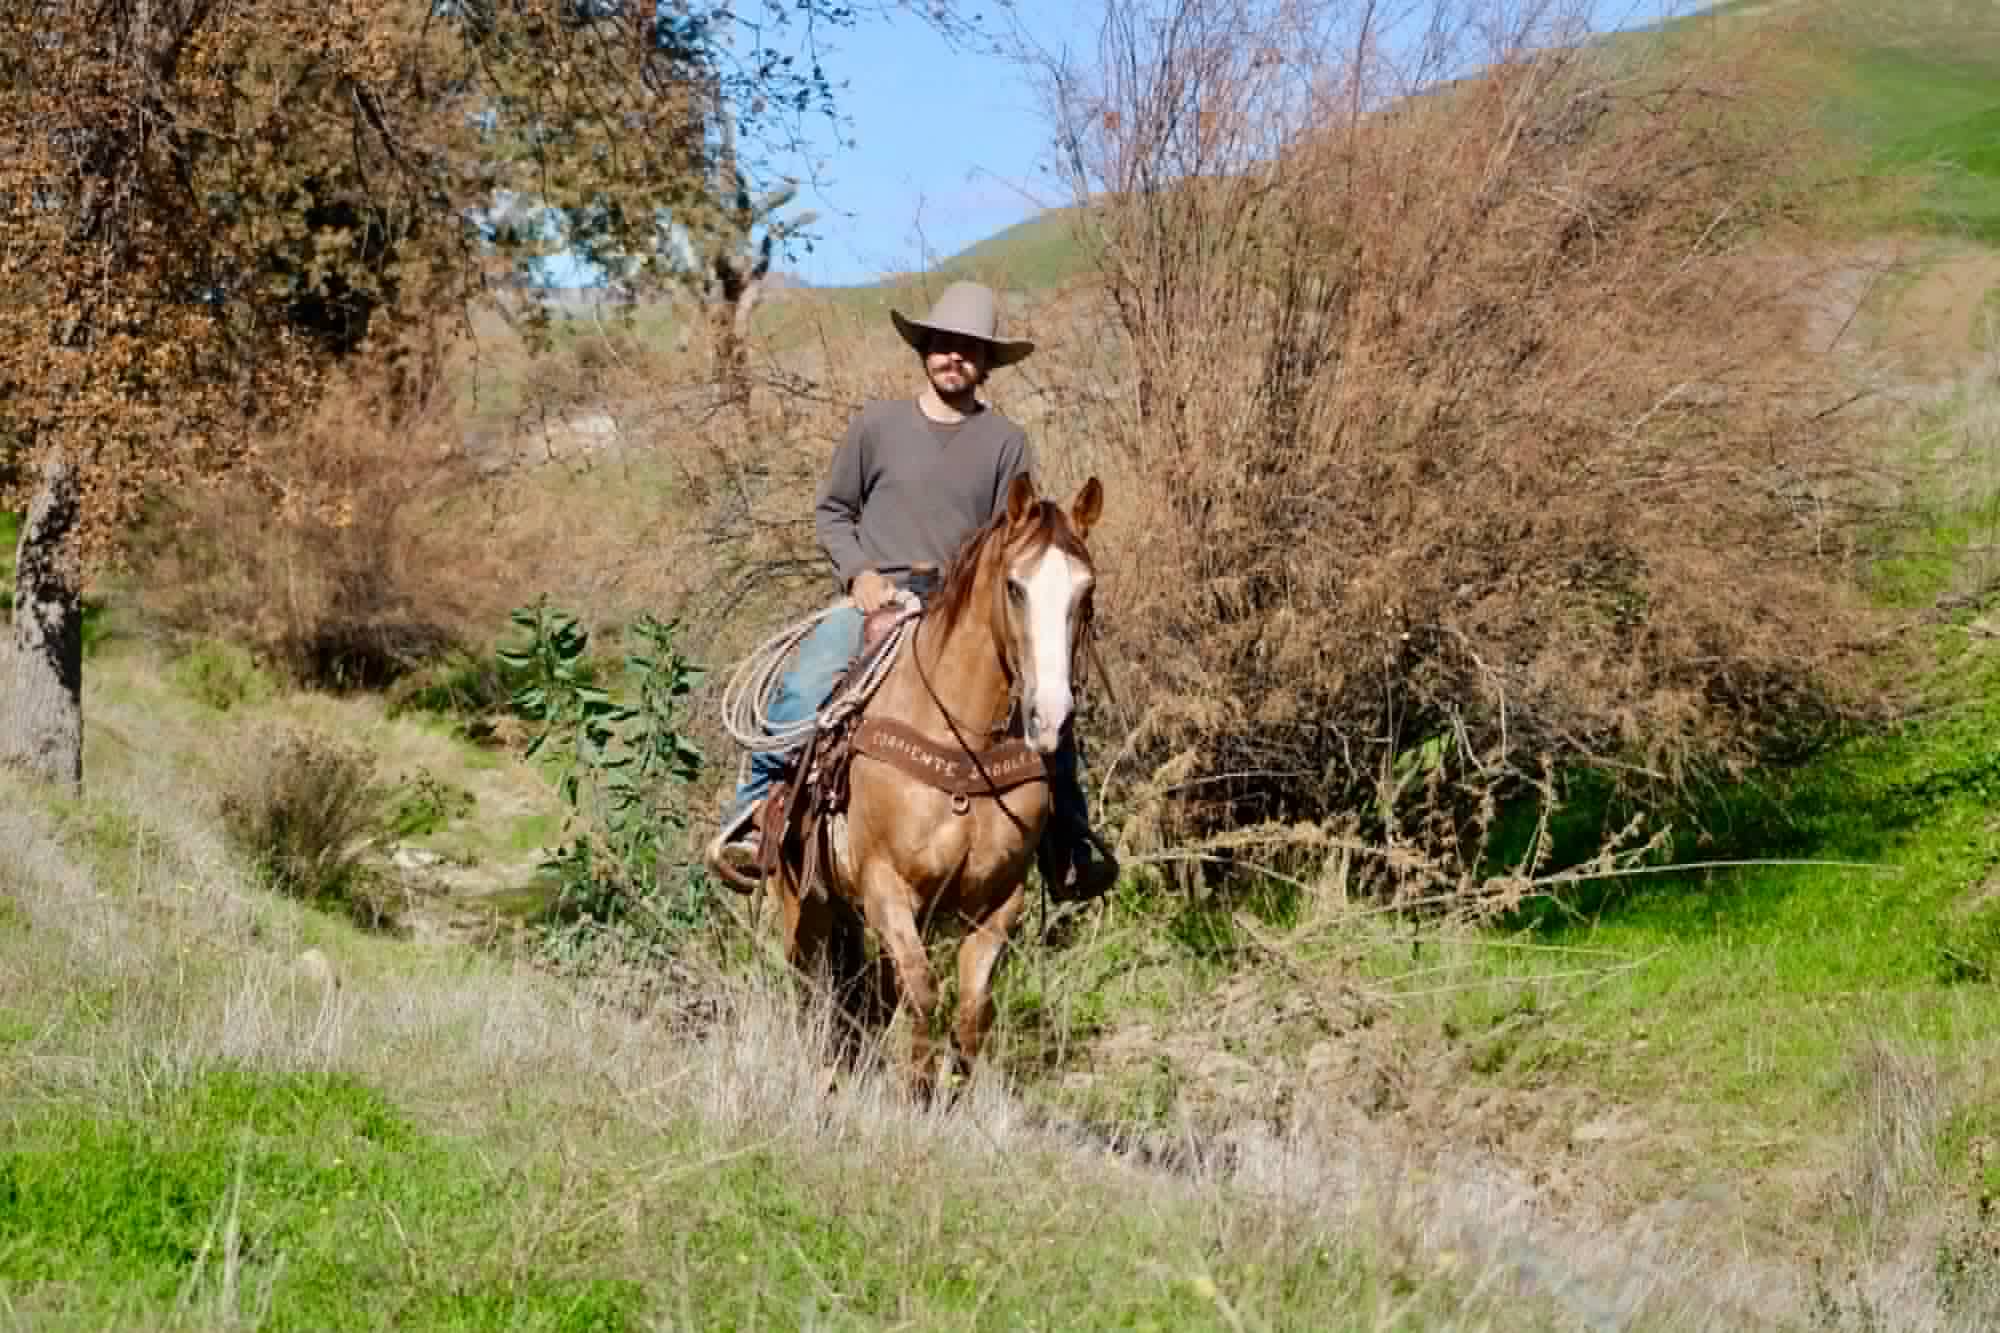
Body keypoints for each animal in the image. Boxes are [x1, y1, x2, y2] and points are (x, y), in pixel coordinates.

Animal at [756, 471, 1104, 1098]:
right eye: (1015, 588)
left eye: (1084, 591)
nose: (1052, 717)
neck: (964, 746)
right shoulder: (884, 886)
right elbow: (921, 992)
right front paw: (914, 1090)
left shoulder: (998, 902)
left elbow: (971, 1010)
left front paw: (946, 1092)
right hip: (802, 899)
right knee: (812, 981)